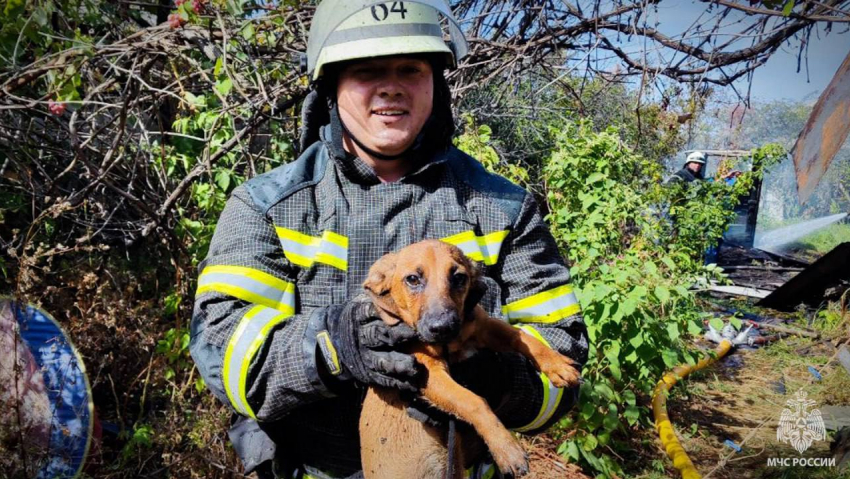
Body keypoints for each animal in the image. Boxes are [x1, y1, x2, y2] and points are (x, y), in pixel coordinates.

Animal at [354, 242, 580, 478]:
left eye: (459, 277)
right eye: (413, 279)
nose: (443, 327)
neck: (451, 344)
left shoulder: (485, 327)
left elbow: (521, 337)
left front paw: (557, 365)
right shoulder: (429, 374)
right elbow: (473, 401)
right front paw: (507, 449)